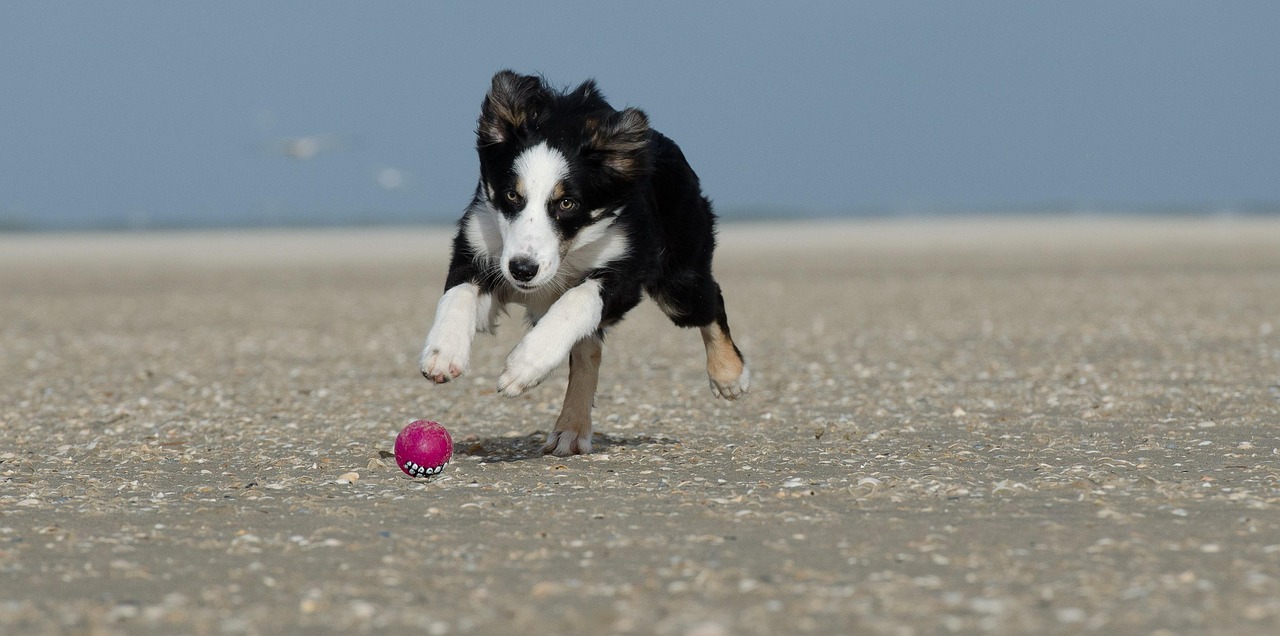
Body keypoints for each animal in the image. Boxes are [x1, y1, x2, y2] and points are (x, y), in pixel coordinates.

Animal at [419, 71, 747, 453]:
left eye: (567, 203)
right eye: (512, 195)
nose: (523, 270)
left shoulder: (626, 270)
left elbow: (576, 300)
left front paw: (523, 367)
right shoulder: (480, 246)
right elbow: (457, 293)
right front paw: (443, 353)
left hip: (678, 281)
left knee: (710, 301)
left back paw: (729, 375)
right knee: (589, 351)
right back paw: (571, 429)